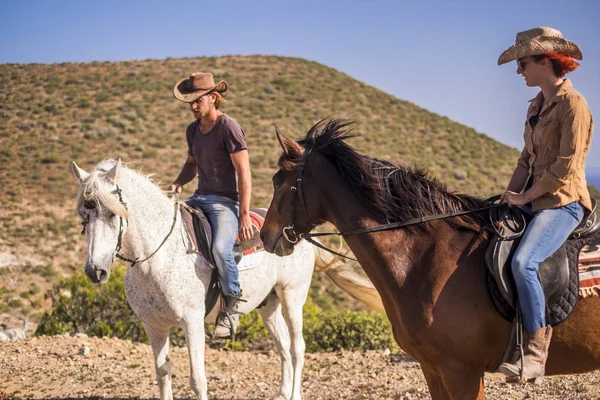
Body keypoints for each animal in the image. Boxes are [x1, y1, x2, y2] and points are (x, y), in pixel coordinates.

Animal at [70, 159, 380, 400]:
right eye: (84, 217)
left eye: (112, 214)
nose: (95, 271)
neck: (156, 256)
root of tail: (295, 231)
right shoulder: (154, 327)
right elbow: (163, 374)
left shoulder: (192, 323)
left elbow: (198, 380)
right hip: (268, 305)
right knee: (283, 347)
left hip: (293, 296)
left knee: (297, 347)